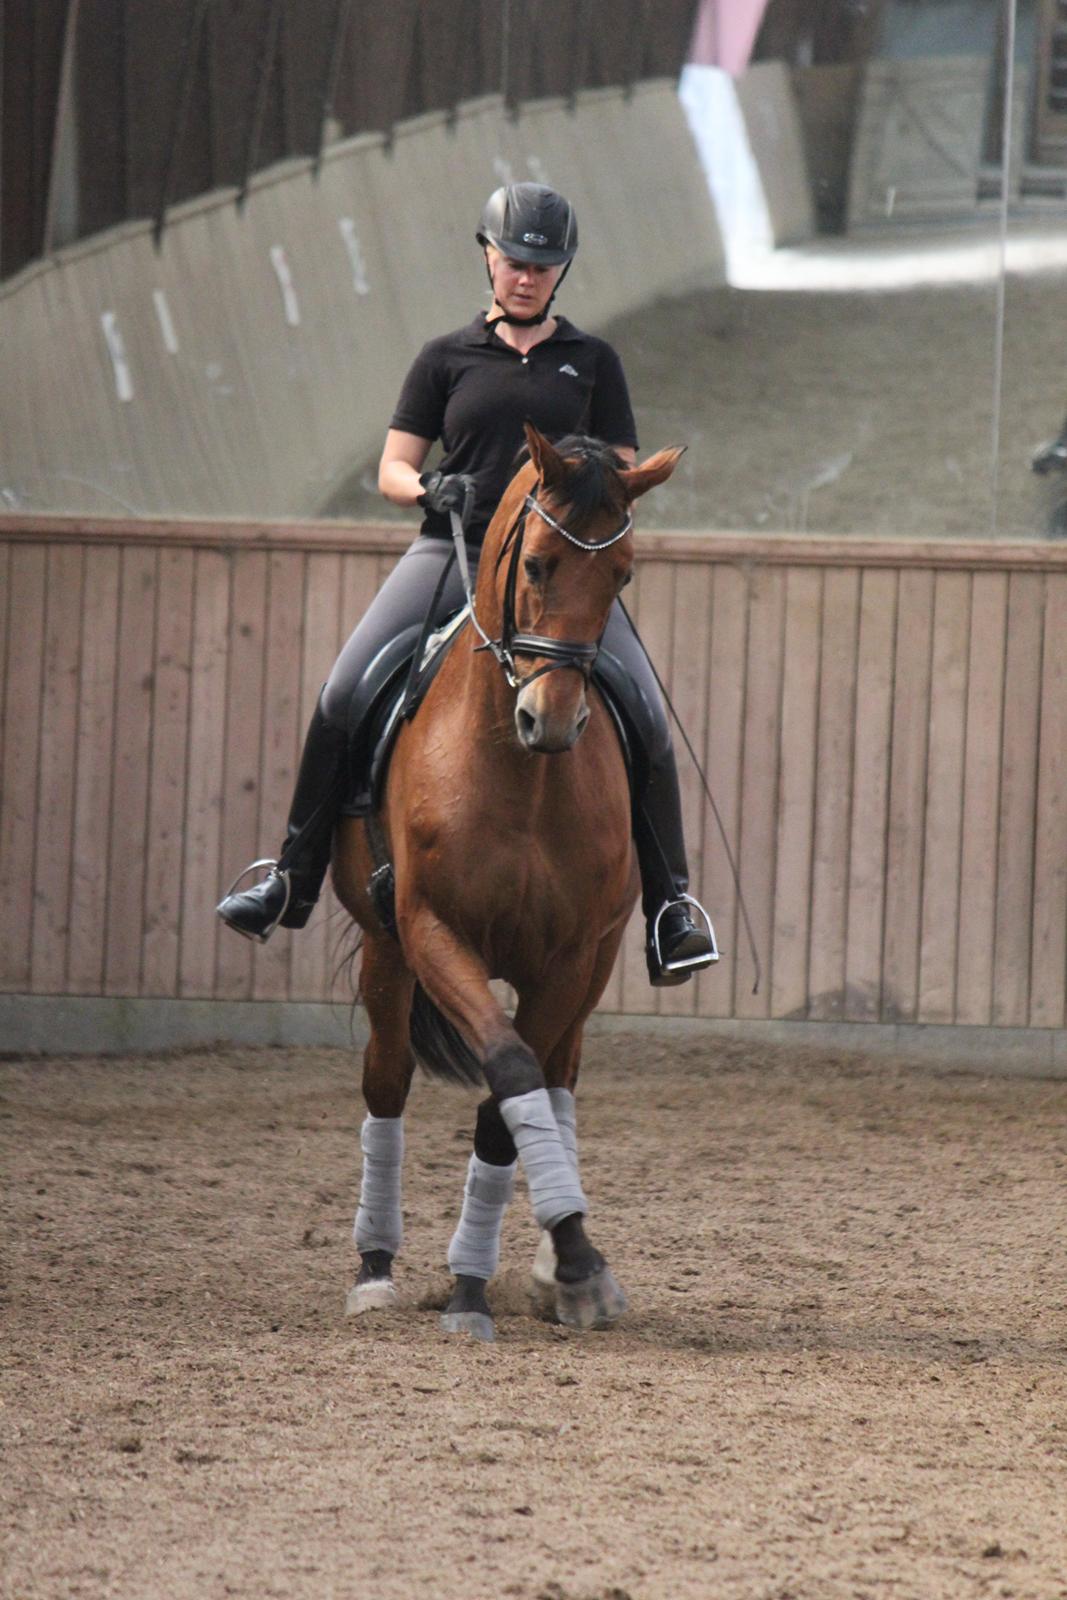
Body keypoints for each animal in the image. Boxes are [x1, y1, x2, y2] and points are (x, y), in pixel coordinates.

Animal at [334, 422, 684, 1337]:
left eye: (622, 573)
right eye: (534, 565)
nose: (551, 722)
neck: (518, 775)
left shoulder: (567, 958)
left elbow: (510, 1097)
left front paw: (553, 1266)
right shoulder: (431, 932)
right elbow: (504, 1066)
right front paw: (479, 1281)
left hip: (597, 960)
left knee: (559, 1073)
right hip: (387, 951)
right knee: (386, 1081)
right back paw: (375, 1267)